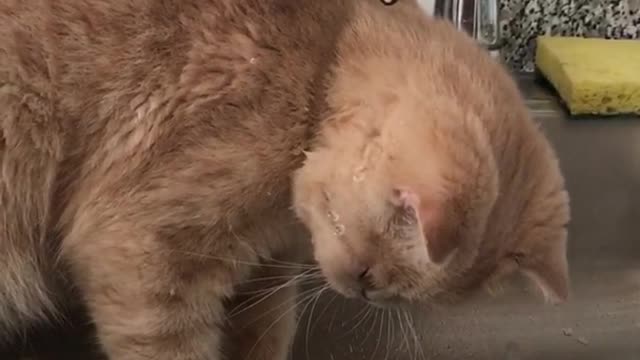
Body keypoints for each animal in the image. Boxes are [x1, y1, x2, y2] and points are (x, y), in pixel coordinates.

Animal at [0, 0, 568, 360]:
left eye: (398, 296)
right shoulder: (145, 261)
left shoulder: (266, 274)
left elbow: (265, 335)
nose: (364, 292)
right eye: (369, 274)